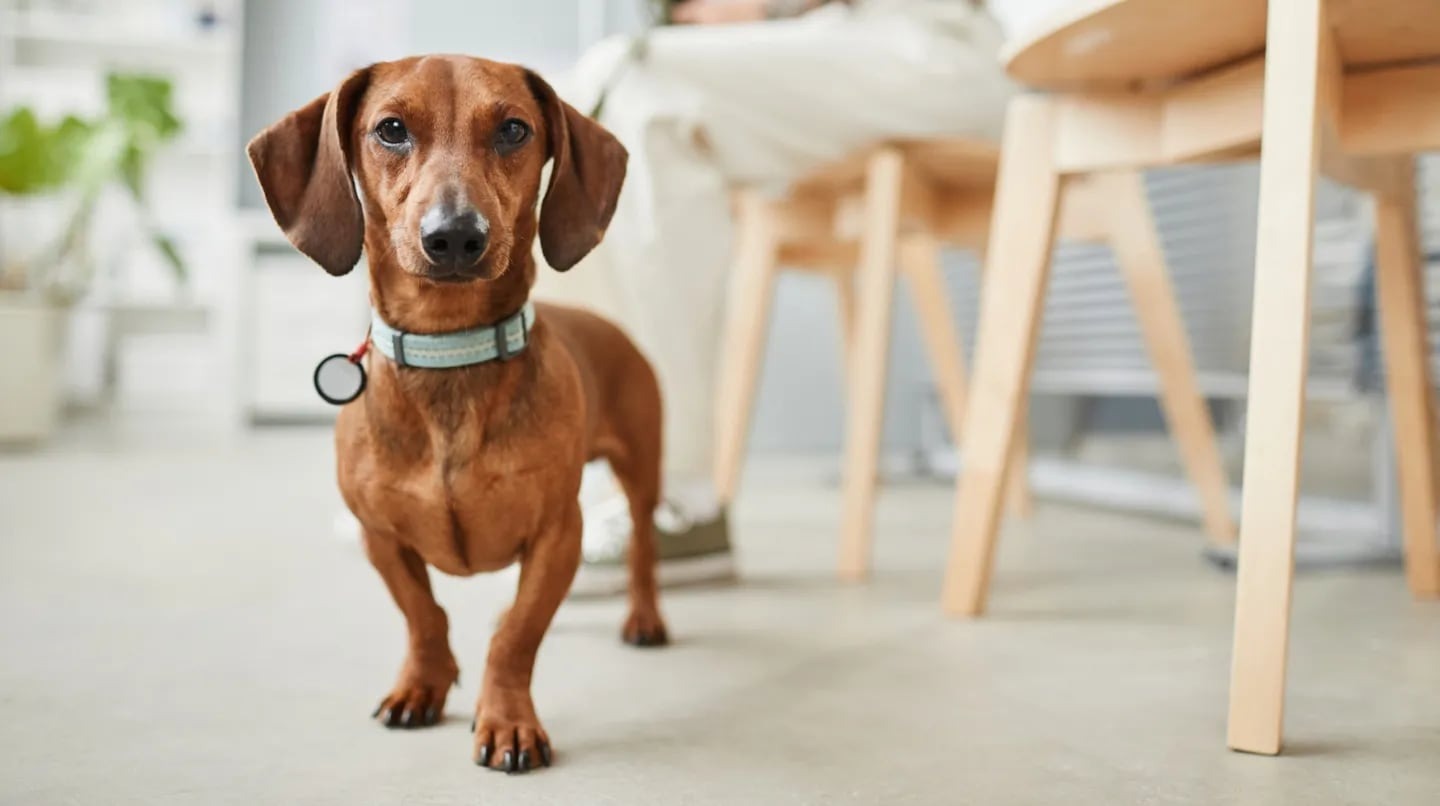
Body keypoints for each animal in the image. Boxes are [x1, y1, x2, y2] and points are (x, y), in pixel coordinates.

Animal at [249, 55, 668, 777]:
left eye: (513, 129)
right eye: (390, 129)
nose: (454, 236)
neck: (451, 352)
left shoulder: (558, 532)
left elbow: (516, 637)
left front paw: (507, 721)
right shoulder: (380, 536)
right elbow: (425, 616)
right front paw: (422, 685)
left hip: (642, 469)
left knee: (642, 543)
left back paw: (644, 616)